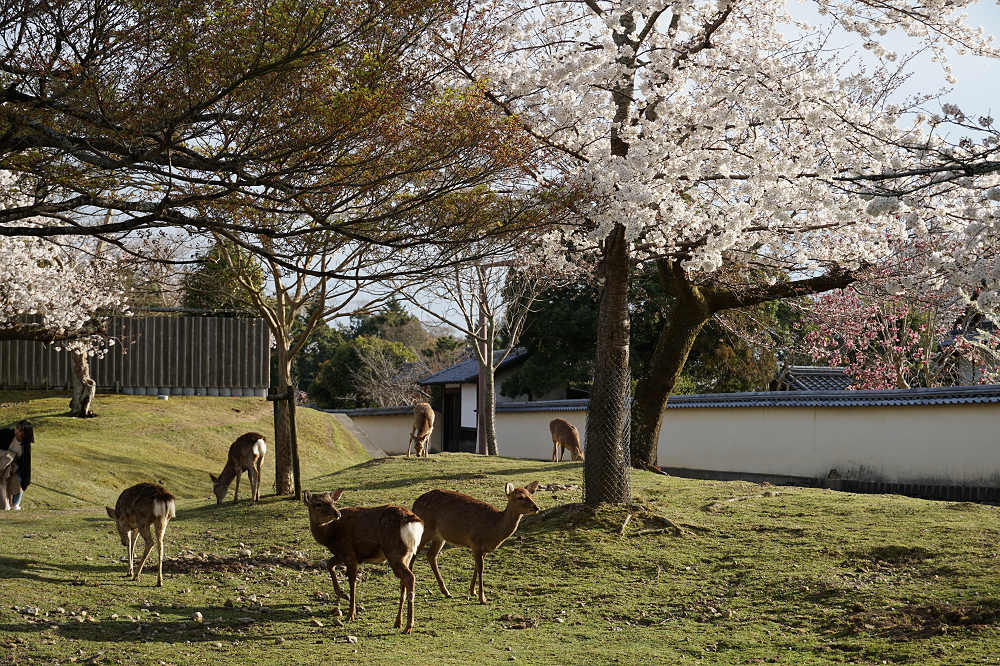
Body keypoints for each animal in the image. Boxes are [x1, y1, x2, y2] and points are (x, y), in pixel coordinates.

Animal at [303, 489, 424, 633]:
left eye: (332, 502)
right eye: (318, 503)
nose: (337, 513)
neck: (329, 534)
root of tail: (414, 522)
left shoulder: (349, 552)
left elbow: (352, 582)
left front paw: (350, 614)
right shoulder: (342, 554)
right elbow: (329, 564)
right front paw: (343, 595)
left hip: (394, 552)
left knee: (409, 577)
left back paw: (408, 626)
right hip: (407, 554)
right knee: (404, 581)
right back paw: (398, 622)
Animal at [411, 480, 540, 605]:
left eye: (530, 495)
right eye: (520, 497)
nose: (536, 507)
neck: (495, 529)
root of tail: (414, 505)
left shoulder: (484, 548)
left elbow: (477, 567)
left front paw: (472, 591)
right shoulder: (475, 542)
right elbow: (481, 567)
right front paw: (482, 598)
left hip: (440, 537)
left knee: (431, 555)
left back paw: (446, 592)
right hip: (425, 530)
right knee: (414, 553)